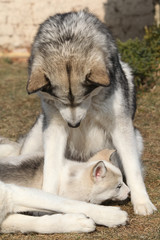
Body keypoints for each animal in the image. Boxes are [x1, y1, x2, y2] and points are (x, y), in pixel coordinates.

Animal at [4, 10, 156, 216]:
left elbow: (133, 169)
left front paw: (142, 201)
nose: (74, 125)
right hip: (36, 137)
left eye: (85, 97)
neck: (67, 40)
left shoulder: (120, 126)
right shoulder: (55, 128)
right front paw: (48, 199)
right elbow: (50, 169)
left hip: (136, 137)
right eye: (60, 101)